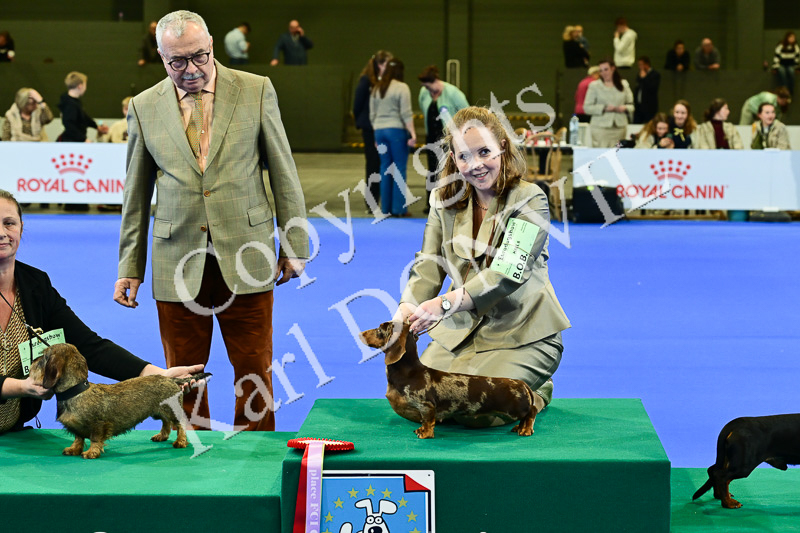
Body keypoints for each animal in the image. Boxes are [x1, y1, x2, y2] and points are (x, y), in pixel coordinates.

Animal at [29, 343, 211, 459]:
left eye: (43, 356)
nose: (31, 362)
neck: (76, 391)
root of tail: (171, 379)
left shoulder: (97, 425)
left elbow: (95, 439)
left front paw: (92, 452)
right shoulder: (76, 427)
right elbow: (78, 438)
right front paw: (73, 449)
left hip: (172, 411)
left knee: (181, 424)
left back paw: (181, 441)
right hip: (158, 411)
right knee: (166, 423)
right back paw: (161, 436)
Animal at [360, 320, 542, 439]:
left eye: (380, 329)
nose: (360, 333)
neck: (409, 372)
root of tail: (521, 383)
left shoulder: (426, 406)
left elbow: (428, 421)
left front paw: (424, 433)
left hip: (515, 408)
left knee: (532, 411)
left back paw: (526, 430)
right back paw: (519, 427)